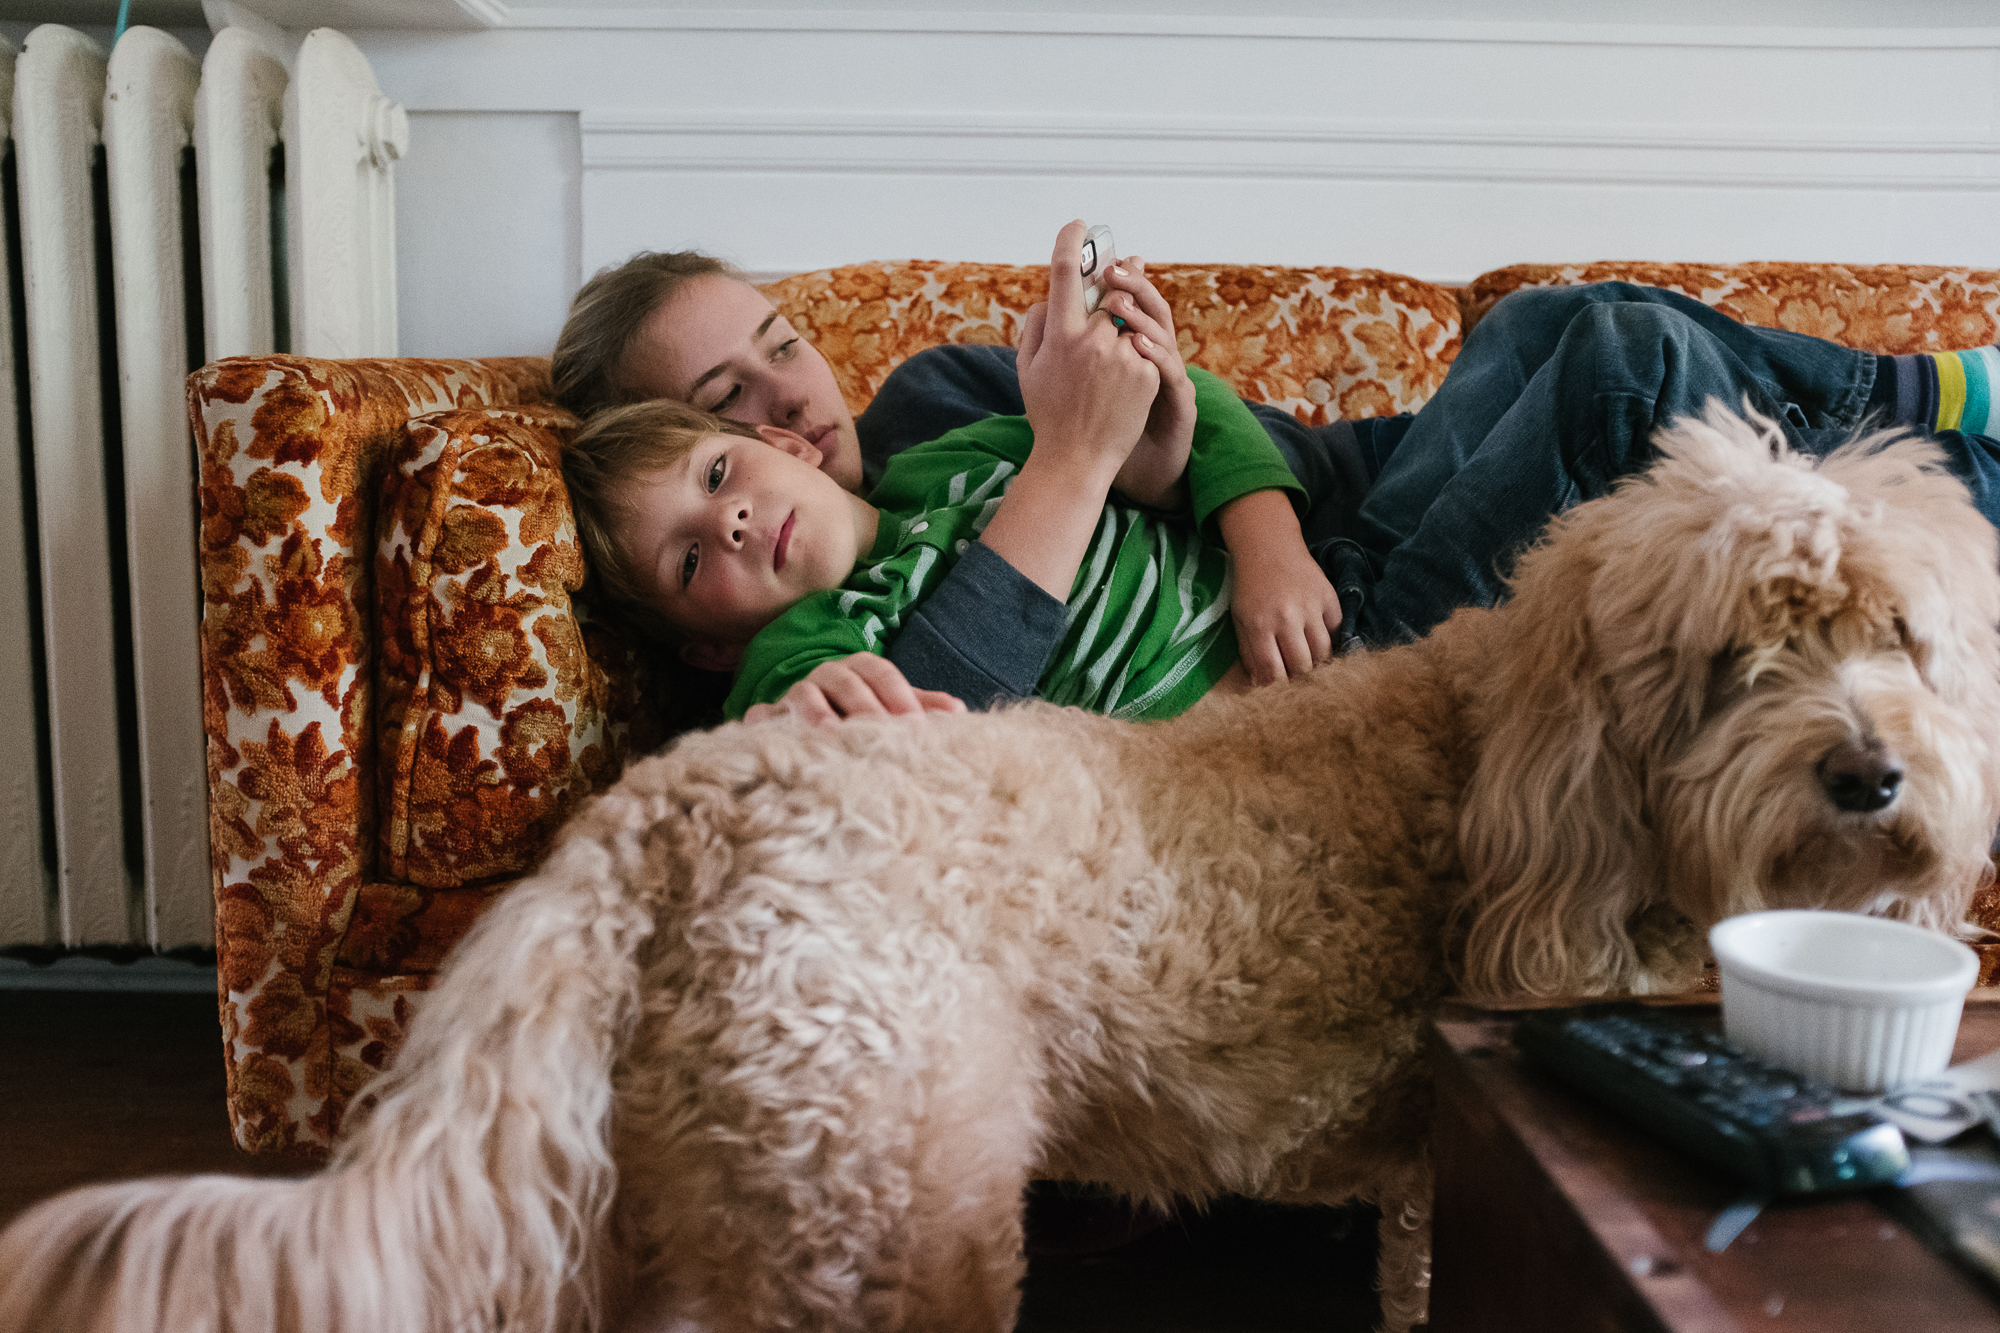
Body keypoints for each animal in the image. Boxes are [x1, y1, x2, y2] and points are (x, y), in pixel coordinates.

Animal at [3, 404, 2000, 1328]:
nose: (1871, 772)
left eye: (1896, 632)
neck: (1509, 756)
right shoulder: (1460, 1165)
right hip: (893, 1204)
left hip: (730, 1190)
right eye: (1732, 662)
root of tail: (658, 817)